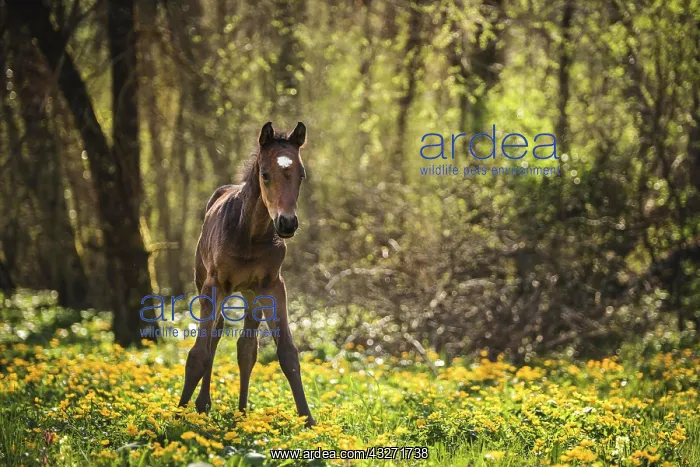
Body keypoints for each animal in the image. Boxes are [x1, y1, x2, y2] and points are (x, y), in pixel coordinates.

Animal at [178, 121, 316, 427]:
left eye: (301, 174)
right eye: (265, 174)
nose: (287, 223)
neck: (251, 234)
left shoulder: (273, 286)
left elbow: (287, 353)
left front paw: (309, 422)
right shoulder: (213, 286)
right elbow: (198, 353)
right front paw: (177, 416)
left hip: (253, 295)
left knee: (246, 348)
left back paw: (241, 412)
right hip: (206, 283)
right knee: (216, 337)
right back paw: (203, 404)